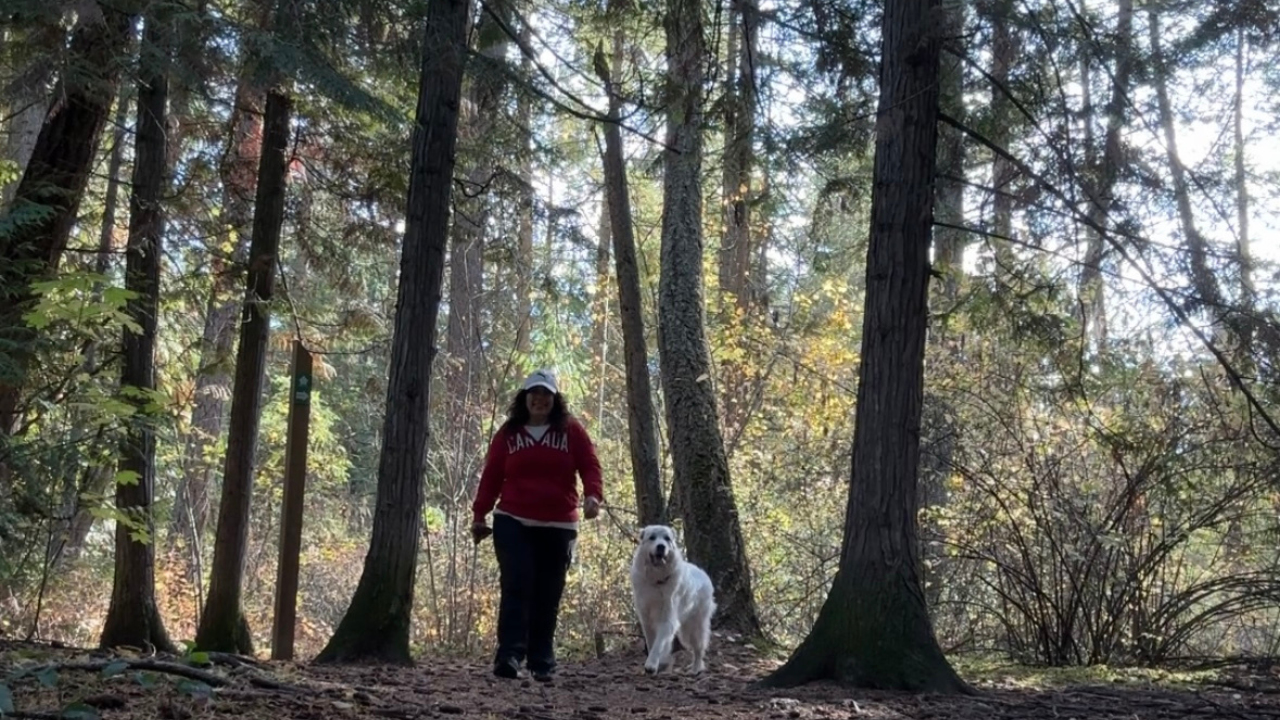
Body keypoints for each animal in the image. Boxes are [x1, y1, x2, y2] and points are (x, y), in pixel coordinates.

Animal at [630, 524, 715, 675]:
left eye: (667, 538)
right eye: (652, 537)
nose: (661, 546)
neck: (656, 581)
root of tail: (704, 574)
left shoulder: (667, 619)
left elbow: (658, 644)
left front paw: (651, 665)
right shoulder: (646, 619)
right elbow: (652, 643)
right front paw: (660, 663)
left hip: (694, 627)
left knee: (699, 648)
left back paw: (696, 669)